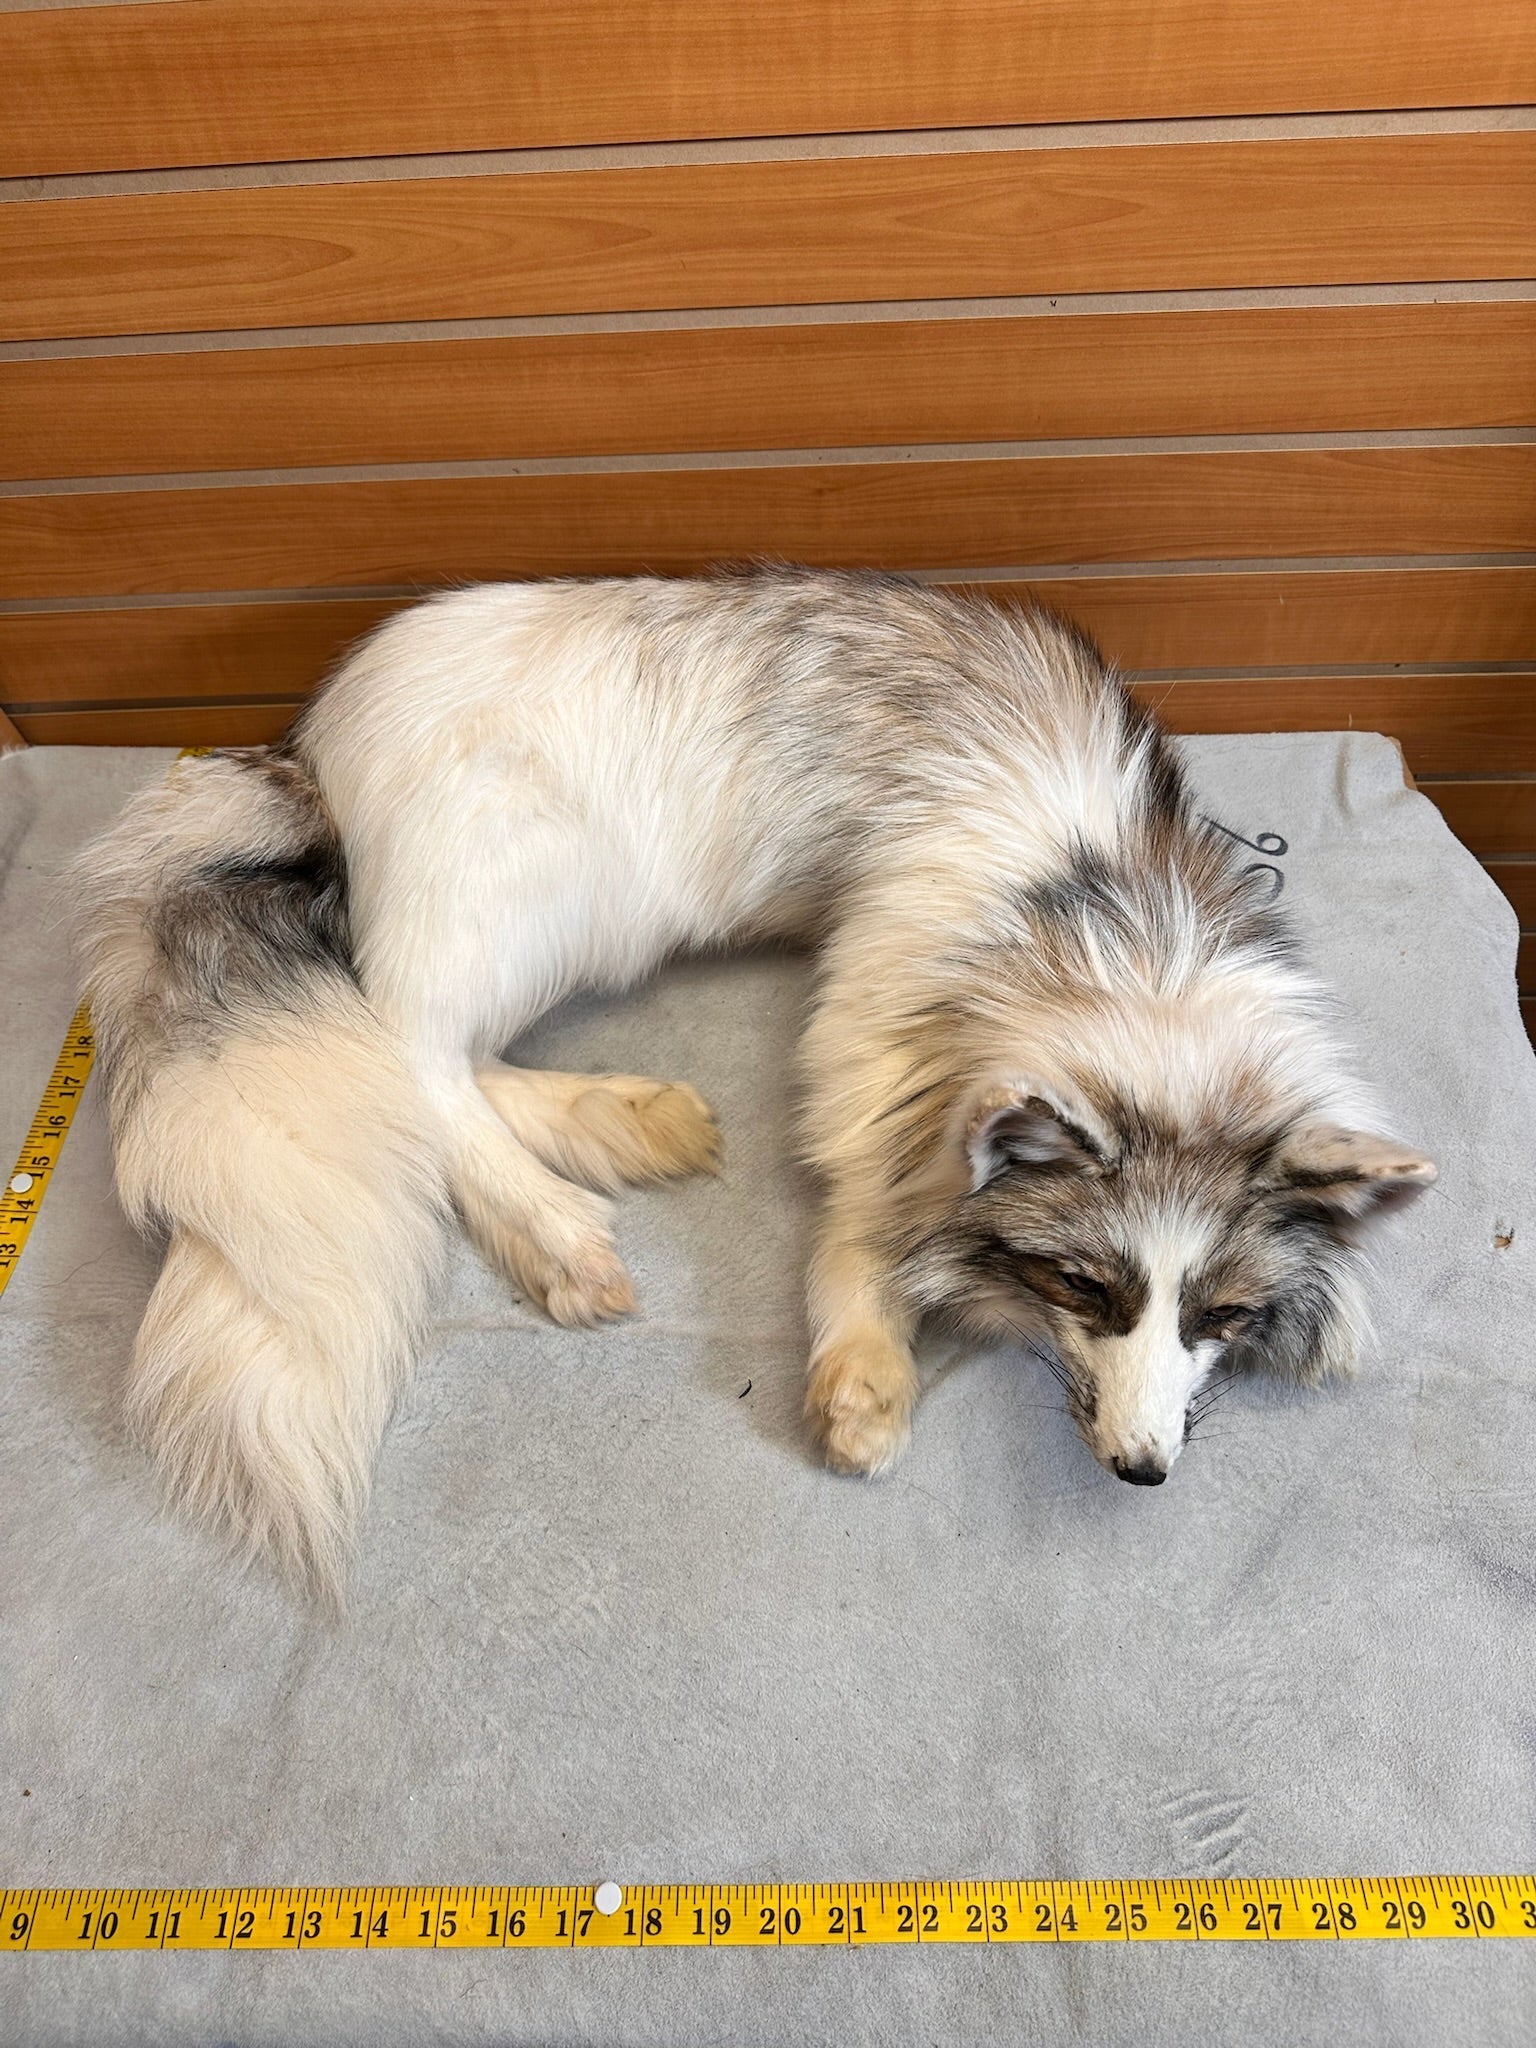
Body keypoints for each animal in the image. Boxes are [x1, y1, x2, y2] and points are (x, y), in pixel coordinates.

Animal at [73, 569, 1436, 1596]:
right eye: (1085, 1286)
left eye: (1224, 1316)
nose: (1142, 1470)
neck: (1117, 922)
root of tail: (304, 749)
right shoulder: (875, 1018)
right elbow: (861, 1208)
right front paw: (867, 1373)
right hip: (545, 899)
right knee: (404, 1041)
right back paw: (558, 1229)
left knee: (443, 1050)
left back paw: (623, 1121)